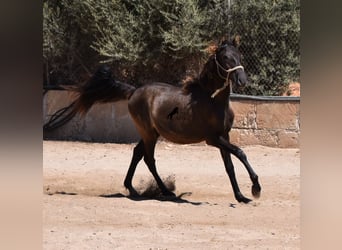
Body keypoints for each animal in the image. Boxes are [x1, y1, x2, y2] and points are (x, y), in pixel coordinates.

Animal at [65, 39, 260, 203]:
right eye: (226, 57)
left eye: (240, 55)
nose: (242, 80)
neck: (212, 100)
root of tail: (134, 91)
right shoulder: (213, 139)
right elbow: (241, 153)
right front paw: (255, 189)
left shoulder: (224, 136)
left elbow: (230, 166)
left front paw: (241, 197)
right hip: (149, 134)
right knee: (149, 159)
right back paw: (165, 191)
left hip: (151, 133)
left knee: (137, 153)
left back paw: (132, 189)